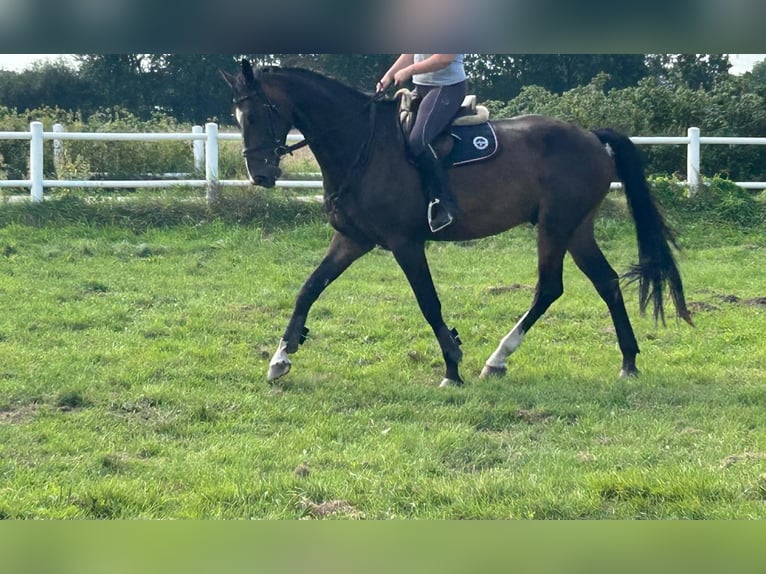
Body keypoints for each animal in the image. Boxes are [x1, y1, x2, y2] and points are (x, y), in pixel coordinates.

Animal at [222, 58, 696, 390]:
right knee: (607, 282)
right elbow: (309, 289)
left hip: (555, 227)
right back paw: (628, 362)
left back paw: (498, 359)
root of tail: (590, 136)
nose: (259, 175)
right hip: (576, 228)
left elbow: (428, 303)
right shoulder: (352, 240)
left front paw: (452, 366)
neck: (361, 144)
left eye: (258, 114)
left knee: (549, 288)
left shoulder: (405, 243)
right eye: (236, 118)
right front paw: (280, 359)